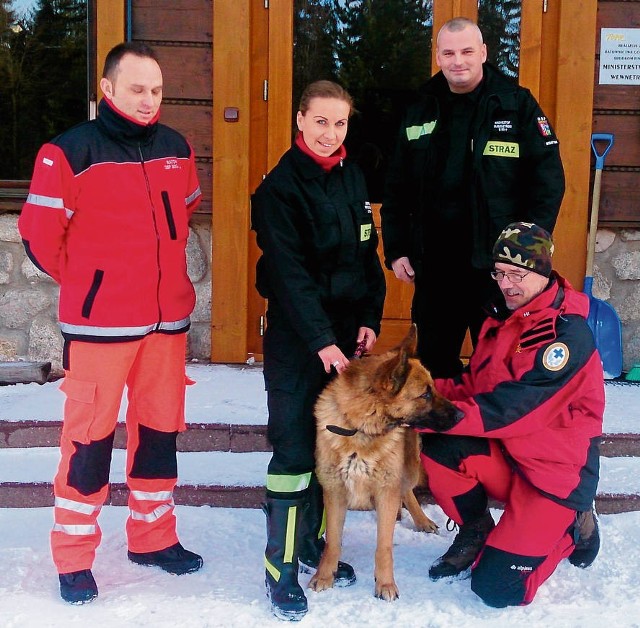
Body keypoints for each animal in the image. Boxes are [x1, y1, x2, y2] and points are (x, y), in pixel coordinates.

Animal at [308, 326, 460, 600]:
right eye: (425, 394)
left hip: (409, 469)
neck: (360, 429)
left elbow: (384, 546)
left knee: (407, 491)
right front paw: (325, 576)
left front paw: (386, 584)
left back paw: (420, 519)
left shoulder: (386, 490)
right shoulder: (334, 491)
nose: (461, 415)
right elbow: (333, 541)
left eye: (433, 388)